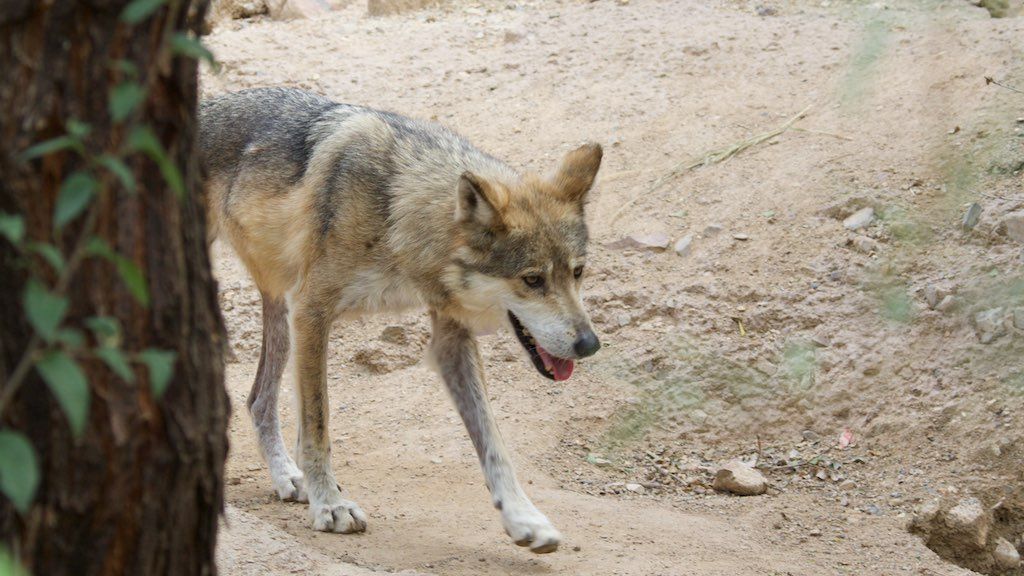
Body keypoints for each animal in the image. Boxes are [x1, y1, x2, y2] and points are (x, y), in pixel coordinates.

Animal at [199, 87, 602, 554]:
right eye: (533, 280)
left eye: (577, 272)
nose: (589, 344)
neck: (398, 210)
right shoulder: (312, 312)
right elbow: (318, 426)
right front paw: (329, 505)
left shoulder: (450, 337)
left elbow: (493, 442)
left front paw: (523, 517)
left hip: (279, 313)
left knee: (257, 401)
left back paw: (285, 477)